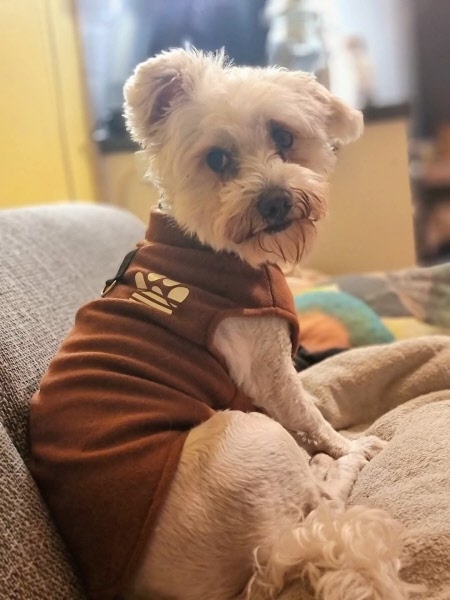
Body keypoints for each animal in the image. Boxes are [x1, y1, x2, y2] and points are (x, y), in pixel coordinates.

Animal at [30, 49, 413, 600]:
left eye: (283, 137)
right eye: (216, 160)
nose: (275, 201)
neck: (212, 248)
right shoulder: (267, 367)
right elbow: (309, 414)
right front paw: (347, 444)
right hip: (251, 435)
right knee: (321, 506)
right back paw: (340, 462)